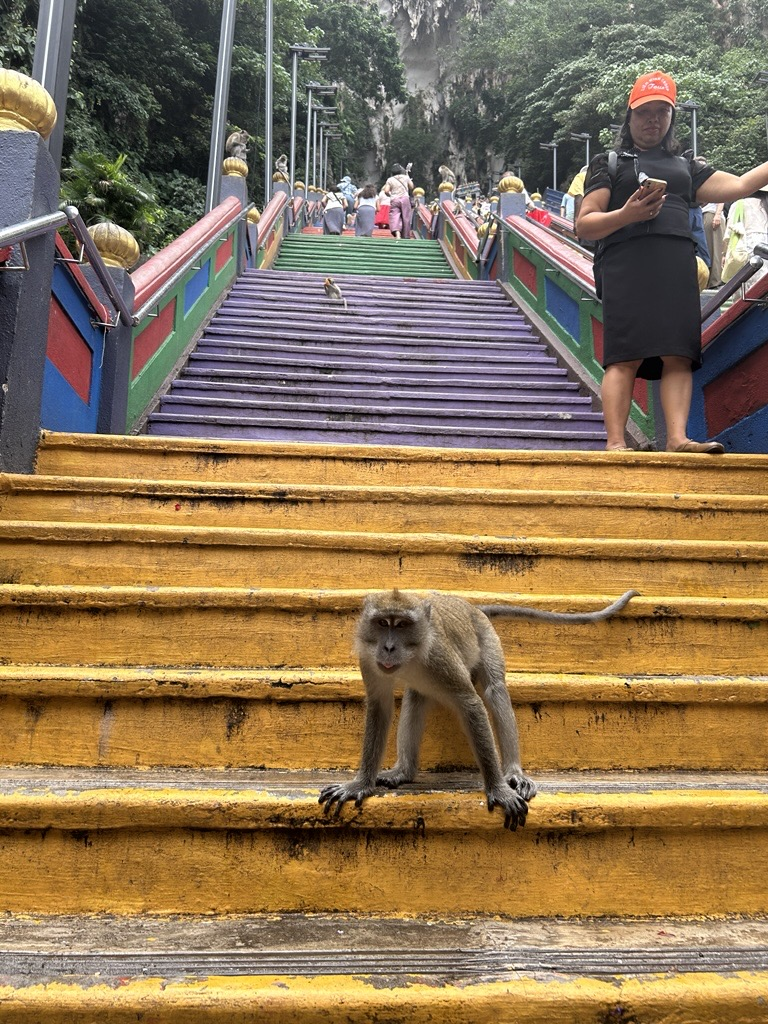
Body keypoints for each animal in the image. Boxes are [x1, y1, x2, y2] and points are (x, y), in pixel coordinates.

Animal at [319, 588, 639, 830]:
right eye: (383, 623)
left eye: (402, 625)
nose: (388, 648)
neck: (413, 654)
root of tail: (472, 607)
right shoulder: (369, 659)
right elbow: (380, 706)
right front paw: (360, 784)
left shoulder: (440, 658)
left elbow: (471, 703)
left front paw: (498, 789)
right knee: (415, 697)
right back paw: (404, 771)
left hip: (488, 637)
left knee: (495, 691)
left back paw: (513, 772)